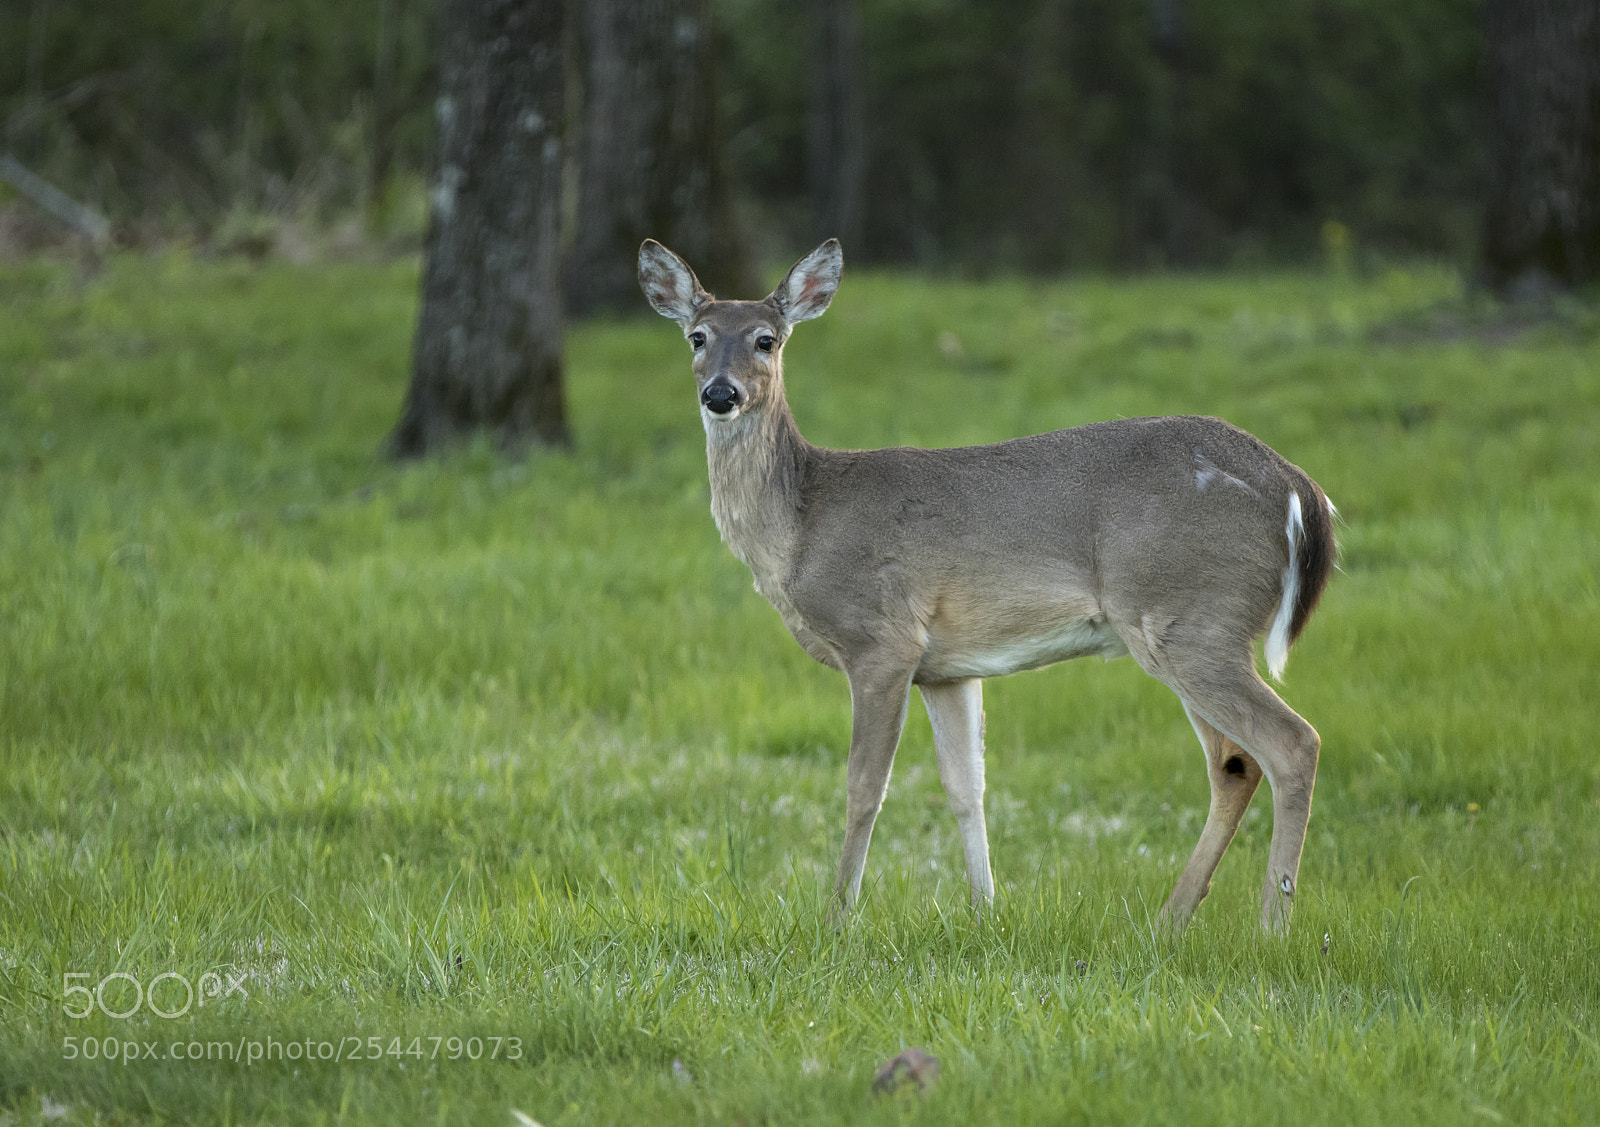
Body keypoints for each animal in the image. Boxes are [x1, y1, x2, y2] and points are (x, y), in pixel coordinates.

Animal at [638, 238, 1337, 933]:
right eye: (698, 336)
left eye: (767, 339)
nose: (721, 393)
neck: (800, 526)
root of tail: (1299, 488)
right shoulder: (947, 666)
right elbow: (965, 786)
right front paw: (985, 910)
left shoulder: (881, 640)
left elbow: (865, 787)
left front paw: (838, 918)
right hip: (1187, 625)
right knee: (1235, 764)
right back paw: (1170, 921)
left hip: (1191, 616)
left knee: (1292, 743)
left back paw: (1272, 926)